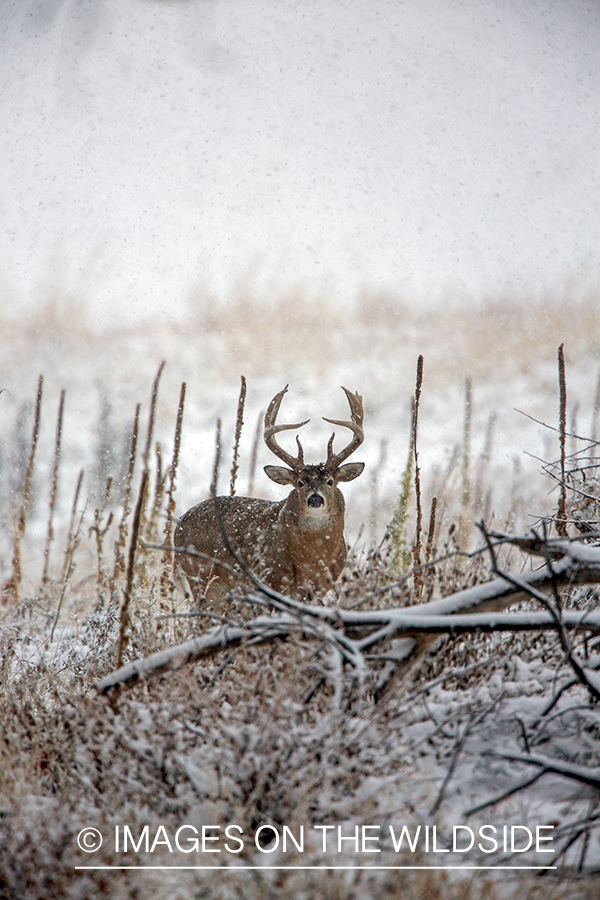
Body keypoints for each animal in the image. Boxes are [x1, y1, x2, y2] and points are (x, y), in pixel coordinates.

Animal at [173, 384, 366, 604]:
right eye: (299, 483)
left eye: (330, 481)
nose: (315, 498)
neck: (313, 558)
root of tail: (178, 526)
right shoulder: (274, 580)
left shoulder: (320, 588)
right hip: (198, 575)